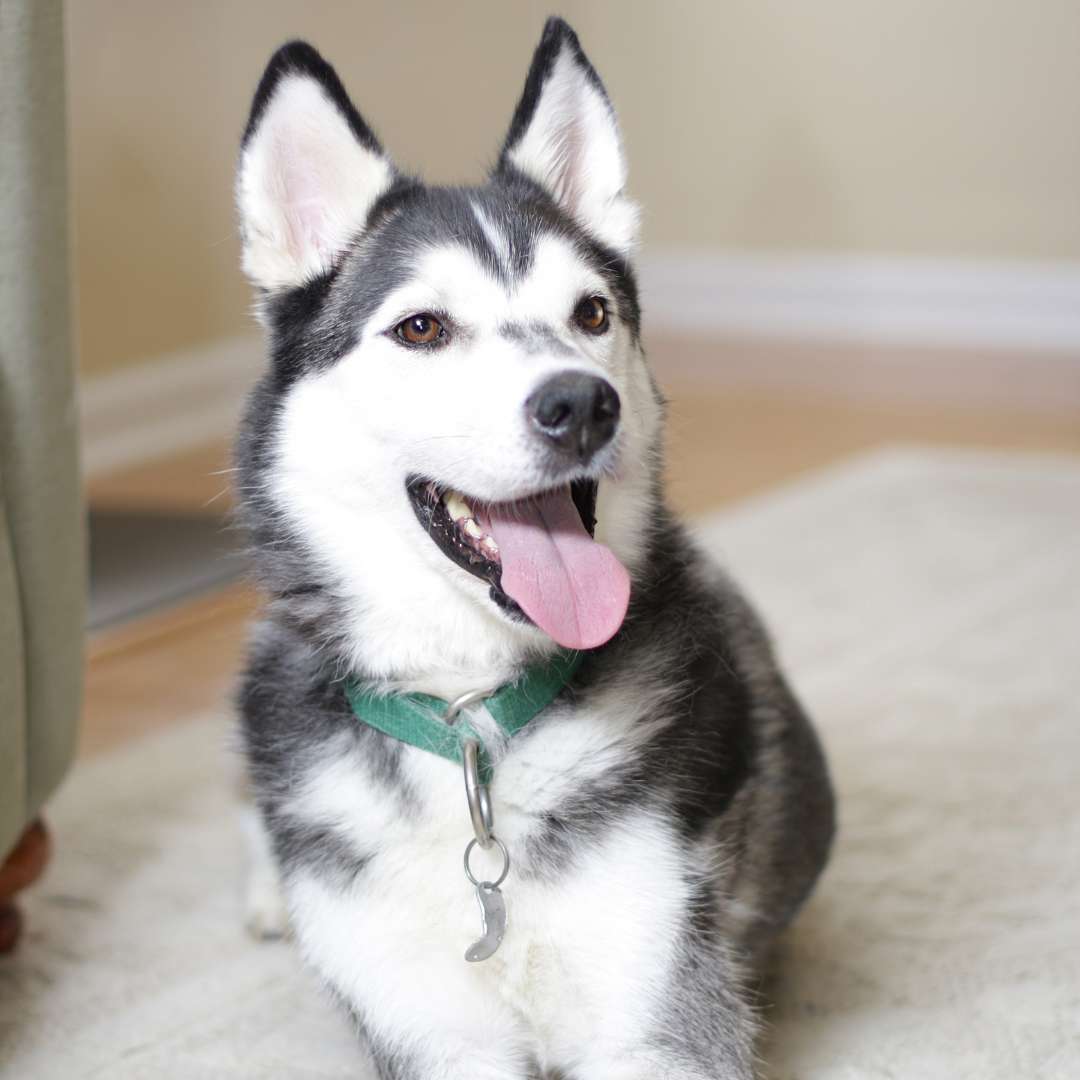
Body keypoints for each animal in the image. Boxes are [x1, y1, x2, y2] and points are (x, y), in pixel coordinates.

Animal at [234, 16, 825, 1080]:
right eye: (421, 327)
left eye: (591, 313)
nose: (582, 403)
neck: (471, 717)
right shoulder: (432, 1035)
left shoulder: (662, 1018)